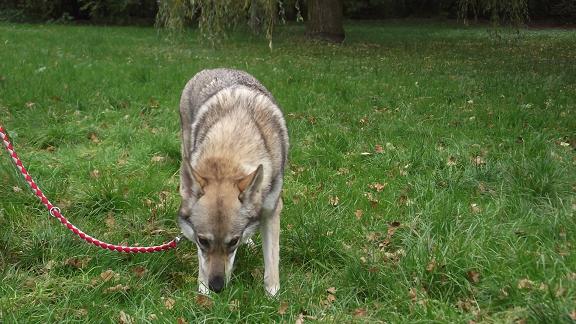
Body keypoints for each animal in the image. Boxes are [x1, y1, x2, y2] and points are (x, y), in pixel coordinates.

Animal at [177, 68, 288, 296]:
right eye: (203, 241)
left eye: (233, 242)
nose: (217, 287)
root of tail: (213, 69)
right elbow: (202, 260)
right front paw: (203, 290)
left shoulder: (272, 211)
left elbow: (272, 260)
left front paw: (272, 296)